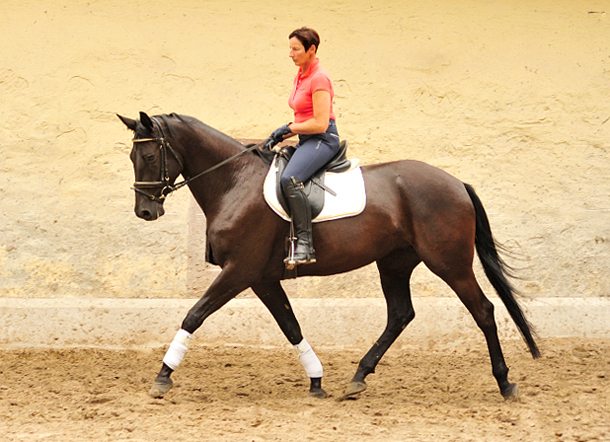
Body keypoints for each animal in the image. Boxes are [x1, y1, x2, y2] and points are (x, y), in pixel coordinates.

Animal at [117, 111, 536, 400]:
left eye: (150, 156)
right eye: (132, 158)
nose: (145, 211)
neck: (234, 181)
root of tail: (456, 183)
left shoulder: (240, 271)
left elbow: (194, 315)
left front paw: (163, 376)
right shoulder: (262, 278)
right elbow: (291, 326)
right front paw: (316, 380)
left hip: (449, 263)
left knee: (483, 310)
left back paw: (504, 382)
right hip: (395, 262)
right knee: (400, 315)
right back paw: (358, 378)